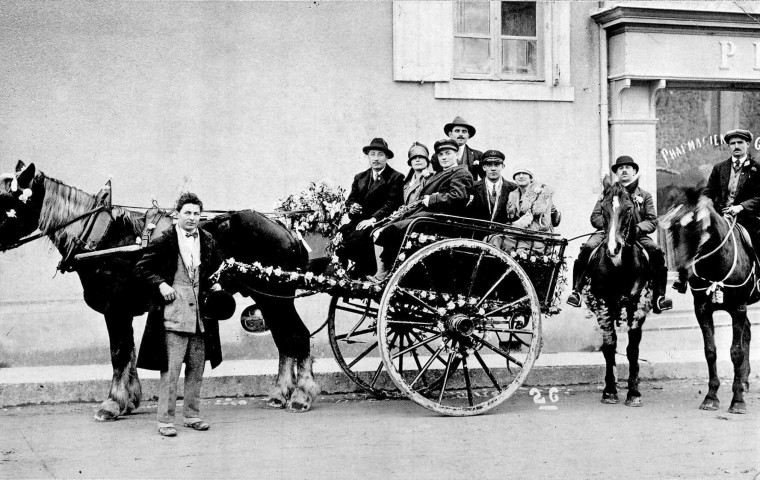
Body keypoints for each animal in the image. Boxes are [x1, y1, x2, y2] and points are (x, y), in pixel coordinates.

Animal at [0, 161, 320, 420]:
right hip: (269, 299)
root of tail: (285, 228)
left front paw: (112, 403)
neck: (102, 238)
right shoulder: (123, 312)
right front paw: (129, 399)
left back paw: (301, 395)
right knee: (284, 340)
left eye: (6, 200)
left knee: (296, 336)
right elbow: (128, 353)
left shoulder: (115, 310)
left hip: (274, 297)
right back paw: (280, 393)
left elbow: (118, 354)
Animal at [580, 178, 652, 406]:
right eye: (602, 209)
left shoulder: (637, 305)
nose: (613, 248)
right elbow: (609, 346)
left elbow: (632, 349)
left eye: (629, 209)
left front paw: (634, 392)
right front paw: (610, 391)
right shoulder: (603, 303)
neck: (619, 266)